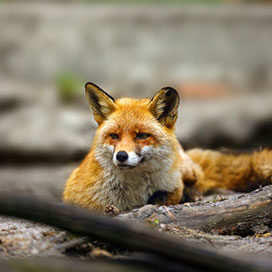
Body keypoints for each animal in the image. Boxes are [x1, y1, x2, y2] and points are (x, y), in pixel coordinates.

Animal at [62, 83, 272, 212]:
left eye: (142, 136)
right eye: (114, 136)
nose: (121, 156)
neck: (134, 191)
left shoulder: (172, 185)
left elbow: (169, 196)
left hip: (187, 169)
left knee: (200, 179)